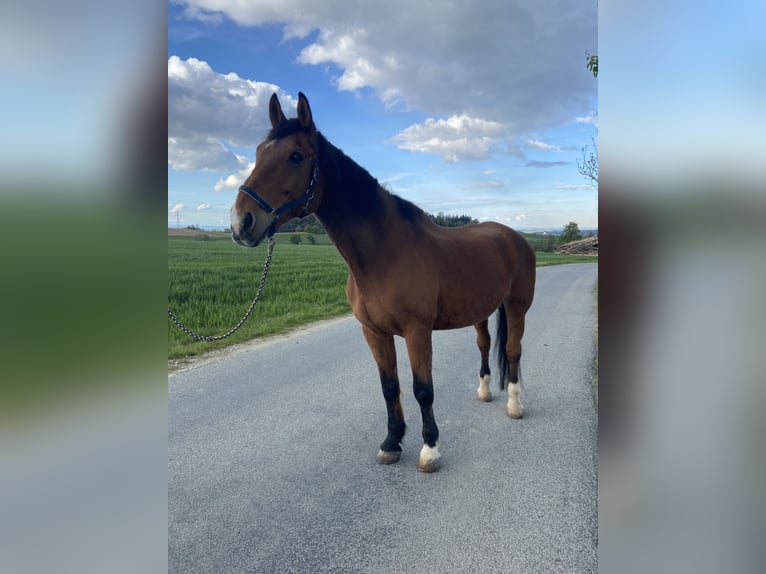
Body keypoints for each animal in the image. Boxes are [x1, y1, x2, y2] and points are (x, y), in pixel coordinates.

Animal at [231, 93, 536, 472]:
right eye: (259, 152)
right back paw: (484, 391)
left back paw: (515, 405)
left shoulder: (417, 332)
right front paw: (391, 443)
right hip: (480, 310)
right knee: (484, 344)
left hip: (517, 306)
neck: (384, 253)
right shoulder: (374, 332)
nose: (241, 222)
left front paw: (429, 450)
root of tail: (514, 237)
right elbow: (389, 386)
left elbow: (423, 389)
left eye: (296, 156)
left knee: (512, 350)